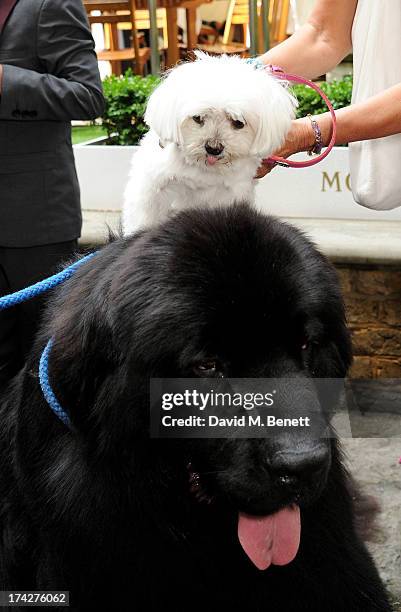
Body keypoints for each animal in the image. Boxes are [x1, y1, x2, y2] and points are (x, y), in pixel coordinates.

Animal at [123, 52, 296, 234]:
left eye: (238, 123)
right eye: (197, 118)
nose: (213, 148)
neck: (203, 171)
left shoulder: (229, 197)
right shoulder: (151, 188)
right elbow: (143, 217)